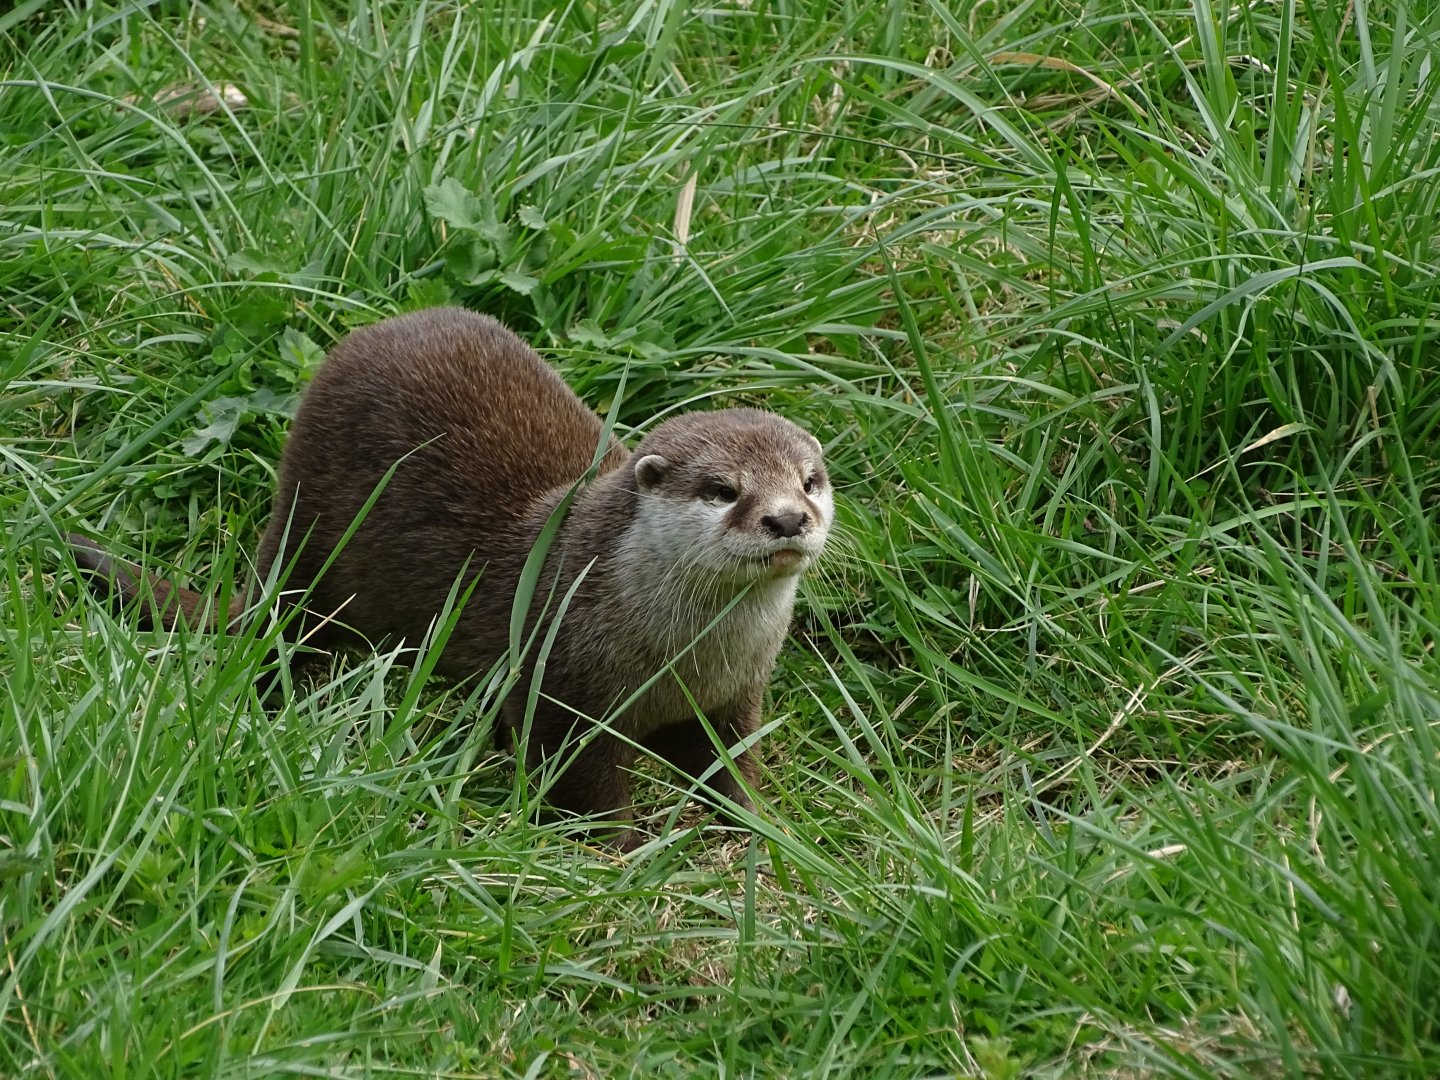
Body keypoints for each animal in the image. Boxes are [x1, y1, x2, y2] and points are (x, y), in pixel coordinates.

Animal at [69, 307, 832, 850]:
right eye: (722, 489)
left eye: (809, 480)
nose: (788, 518)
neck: (680, 660)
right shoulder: (558, 684)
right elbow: (579, 780)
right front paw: (617, 852)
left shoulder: (733, 697)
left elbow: (730, 767)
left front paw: (761, 832)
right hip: (316, 551)